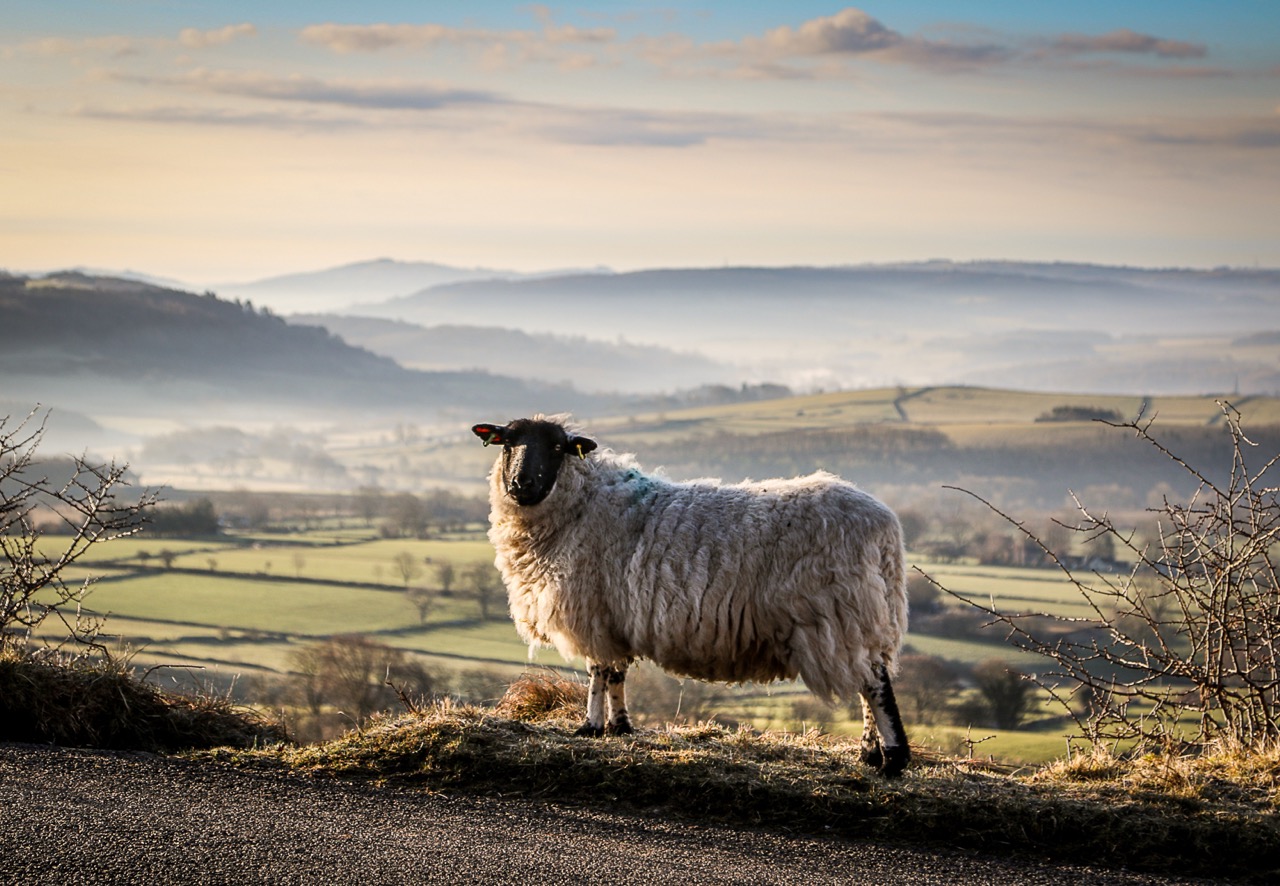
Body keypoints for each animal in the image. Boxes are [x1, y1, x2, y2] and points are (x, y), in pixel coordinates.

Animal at [473, 414, 911, 773]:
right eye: (508, 443)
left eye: (557, 447)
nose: (522, 484)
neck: (583, 501)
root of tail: (886, 527)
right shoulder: (616, 616)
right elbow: (616, 674)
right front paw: (620, 726)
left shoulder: (595, 611)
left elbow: (598, 671)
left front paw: (591, 727)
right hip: (862, 617)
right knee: (867, 684)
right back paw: (868, 753)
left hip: (842, 611)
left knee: (876, 687)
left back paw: (893, 758)